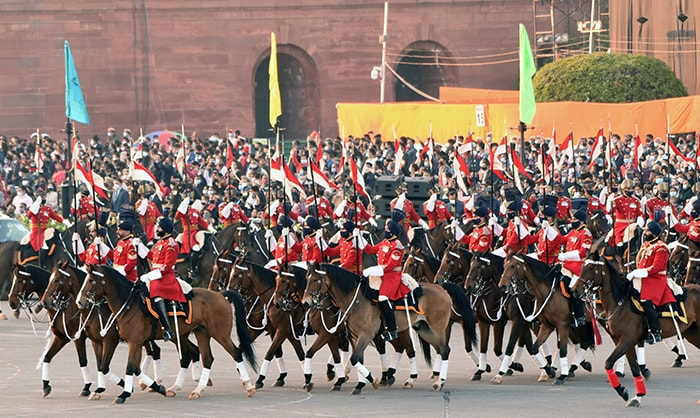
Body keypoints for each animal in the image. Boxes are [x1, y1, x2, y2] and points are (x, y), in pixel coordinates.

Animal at [76, 264, 258, 404]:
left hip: (220, 334)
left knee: (236, 353)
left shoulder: (130, 342)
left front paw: (124, 393)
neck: (129, 304)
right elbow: (130, 368)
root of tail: (220, 294)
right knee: (204, 358)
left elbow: (128, 367)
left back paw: (249, 386)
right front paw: (157, 388)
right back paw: (195, 389)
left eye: (91, 280)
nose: (80, 301)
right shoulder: (131, 342)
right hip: (200, 333)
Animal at [300, 262, 476, 394]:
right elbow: (356, 359)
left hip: (436, 329)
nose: (305, 303)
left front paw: (371, 380)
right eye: (306, 279)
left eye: (315, 280)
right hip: (424, 330)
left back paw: (439, 383)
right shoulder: (354, 337)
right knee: (437, 349)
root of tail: (441, 288)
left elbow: (354, 359)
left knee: (444, 350)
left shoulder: (363, 335)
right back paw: (416, 379)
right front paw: (360, 383)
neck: (355, 299)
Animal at [500, 251, 592, 386]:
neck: (548, 292)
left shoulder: (561, 325)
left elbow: (563, 350)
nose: (502, 286)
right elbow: (533, 347)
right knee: (583, 343)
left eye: (512, 266)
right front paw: (549, 371)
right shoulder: (546, 325)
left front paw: (560, 376)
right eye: (504, 264)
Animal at [576, 253, 700, 406]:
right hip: (692, 333)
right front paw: (635, 395)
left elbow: (608, 363)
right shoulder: (624, 342)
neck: (619, 303)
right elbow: (634, 368)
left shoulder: (627, 340)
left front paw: (623, 390)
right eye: (583, 265)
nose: (575, 290)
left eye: (591, 268)